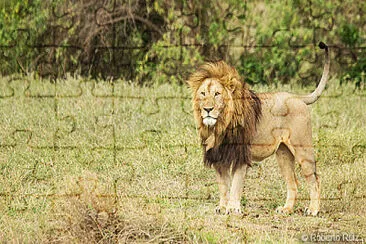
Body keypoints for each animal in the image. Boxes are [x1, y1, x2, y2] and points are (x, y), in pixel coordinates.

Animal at [187, 42, 330, 217]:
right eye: (203, 93)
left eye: (217, 94)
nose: (207, 109)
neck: (220, 124)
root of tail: (297, 97)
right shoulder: (219, 156)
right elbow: (223, 185)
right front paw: (222, 207)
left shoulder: (240, 156)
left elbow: (235, 185)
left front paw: (233, 208)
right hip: (283, 153)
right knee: (293, 182)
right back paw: (286, 209)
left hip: (302, 148)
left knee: (315, 179)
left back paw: (313, 210)